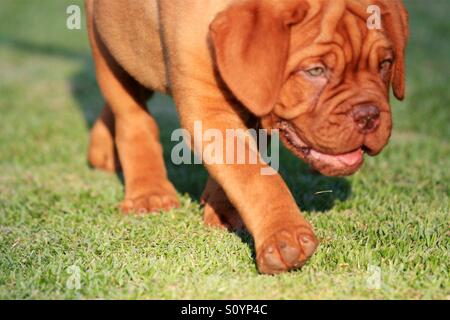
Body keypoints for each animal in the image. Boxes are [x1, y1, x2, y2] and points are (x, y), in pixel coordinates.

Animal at [84, 0, 408, 276]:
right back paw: (149, 192)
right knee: (131, 115)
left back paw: (102, 152)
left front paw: (223, 210)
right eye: (315, 70)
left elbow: (241, 166)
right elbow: (255, 176)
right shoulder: (208, 107)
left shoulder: (253, 104)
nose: (369, 116)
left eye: (385, 64)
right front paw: (284, 235)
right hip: (105, 41)